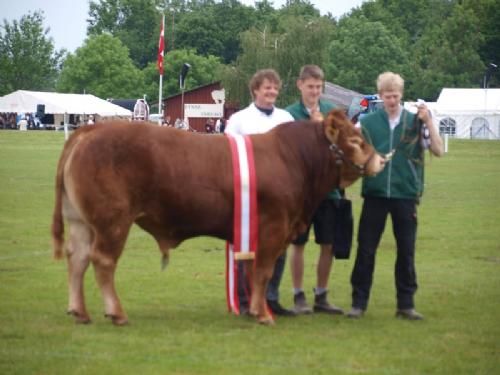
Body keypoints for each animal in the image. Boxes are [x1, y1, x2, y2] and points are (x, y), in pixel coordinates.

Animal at [51, 108, 382, 326]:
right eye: (355, 141)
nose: (381, 159)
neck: (293, 159)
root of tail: (90, 130)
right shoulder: (273, 226)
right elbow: (262, 270)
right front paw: (263, 315)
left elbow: (251, 271)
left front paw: (255, 310)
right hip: (113, 221)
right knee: (102, 261)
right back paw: (116, 313)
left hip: (81, 221)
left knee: (77, 257)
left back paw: (79, 311)